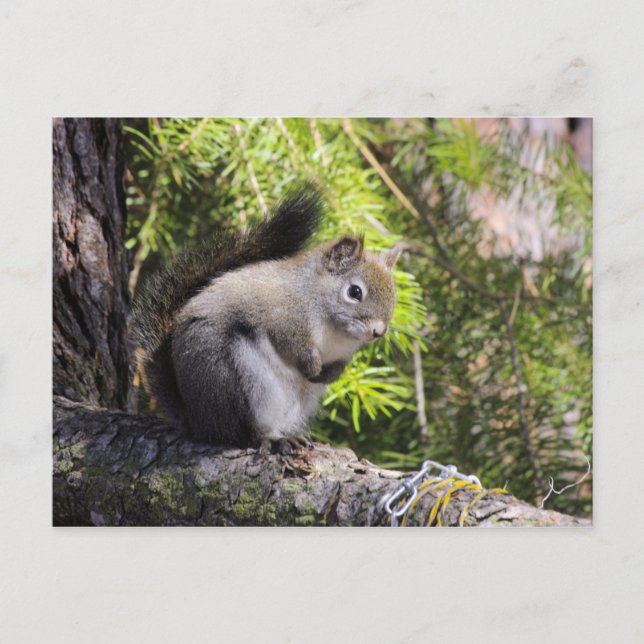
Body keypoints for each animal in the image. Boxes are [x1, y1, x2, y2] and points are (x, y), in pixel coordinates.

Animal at [132, 183, 401, 454]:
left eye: (394, 295)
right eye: (355, 292)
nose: (379, 332)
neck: (335, 332)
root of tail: (198, 422)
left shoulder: (343, 353)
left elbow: (338, 366)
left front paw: (329, 375)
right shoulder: (280, 316)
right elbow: (292, 344)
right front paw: (312, 365)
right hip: (235, 380)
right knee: (244, 432)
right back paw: (272, 438)